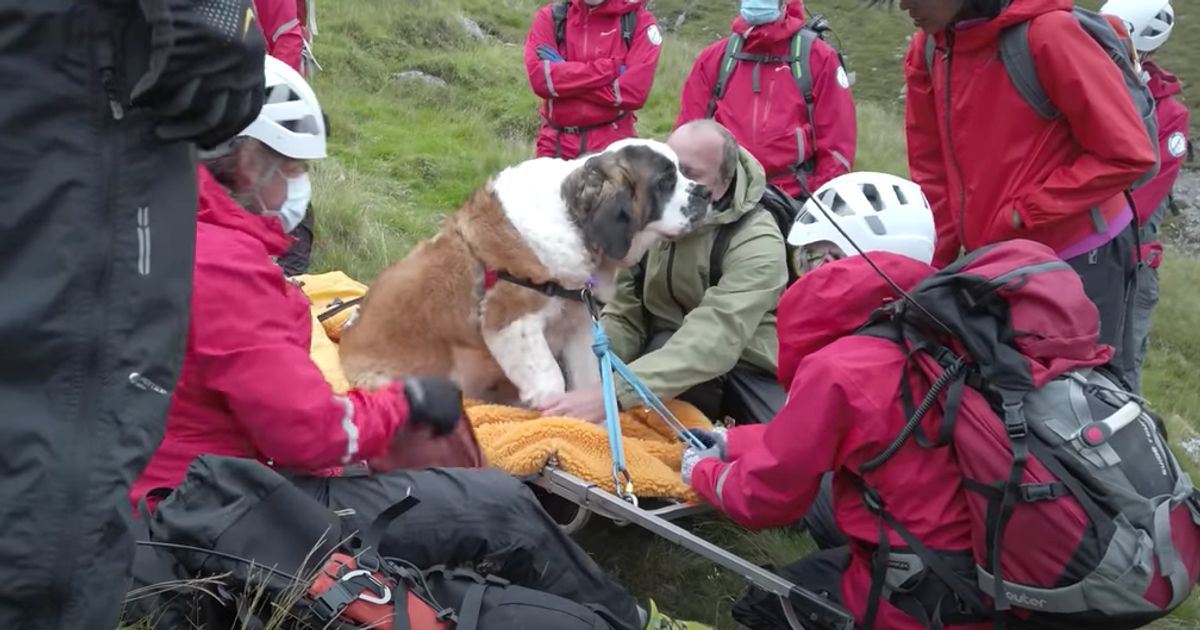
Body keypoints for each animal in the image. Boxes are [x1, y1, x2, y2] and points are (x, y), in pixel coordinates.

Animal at [338, 137, 710, 408]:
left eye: (684, 170)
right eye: (666, 181)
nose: (706, 192)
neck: (575, 220)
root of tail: (345, 342)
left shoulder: (578, 322)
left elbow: (589, 380)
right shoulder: (512, 321)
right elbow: (552, 380)